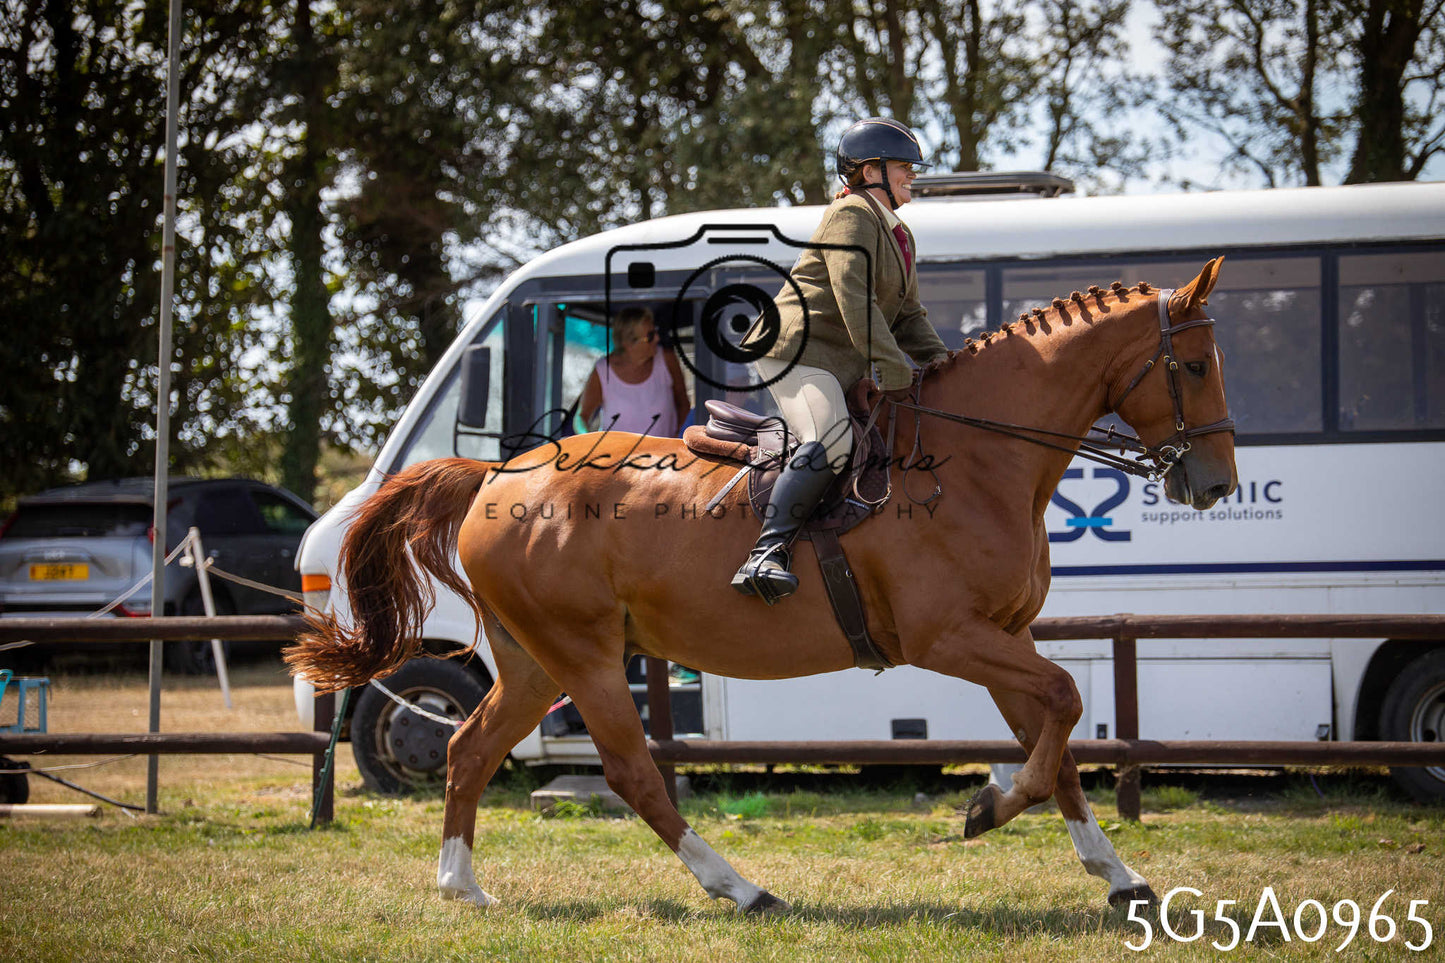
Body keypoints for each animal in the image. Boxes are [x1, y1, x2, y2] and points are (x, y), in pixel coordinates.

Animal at [286, 257, 1237, 915]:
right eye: (1193, 368)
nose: (1215, 483)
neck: (977, 458)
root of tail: (495, 476)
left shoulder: (1005, 636)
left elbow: (1060, 741)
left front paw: (1116, 874)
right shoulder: (951, 637)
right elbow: (1063, 710)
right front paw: (986, 808)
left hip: (533, 661)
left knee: (468, 749)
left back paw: (461, 884)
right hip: (582, 654)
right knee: (631, 771)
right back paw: (739, 887)